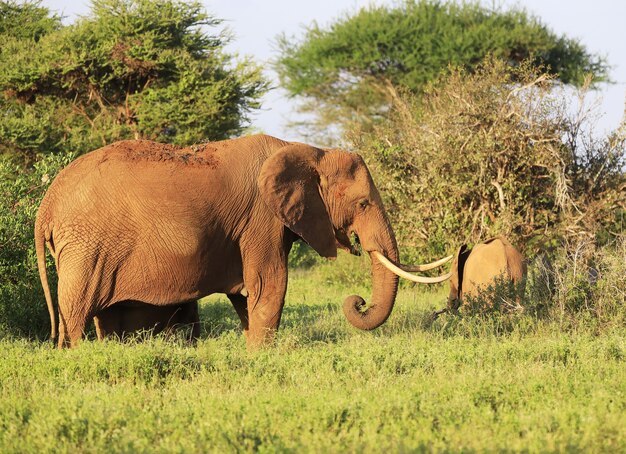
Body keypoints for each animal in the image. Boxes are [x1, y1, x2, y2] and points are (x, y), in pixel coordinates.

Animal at [35, 135, 448, 348]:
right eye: (362, 204)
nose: (358, 301)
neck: (309, 149)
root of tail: (46, 207)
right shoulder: (261, 219)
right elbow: (269, 284)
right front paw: (263, 356)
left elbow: (246, 293)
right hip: (86, 246)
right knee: (76, 311)